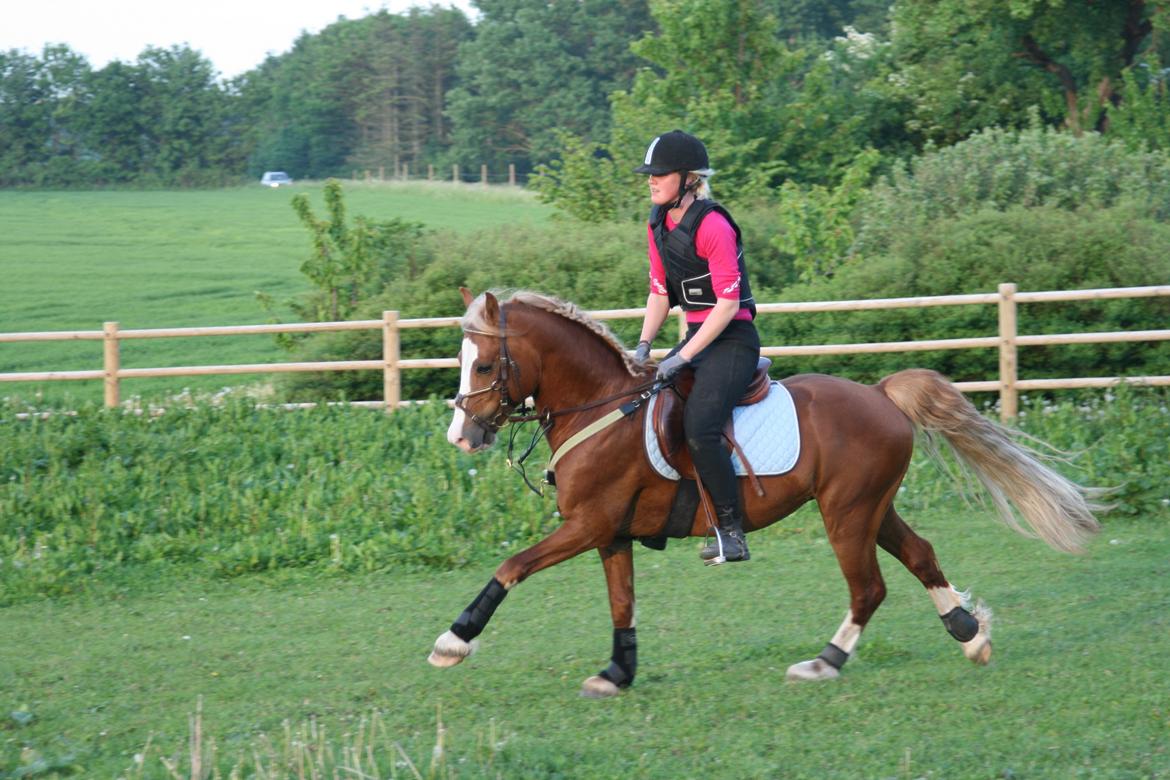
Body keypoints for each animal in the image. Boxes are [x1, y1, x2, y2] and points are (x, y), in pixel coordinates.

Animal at [428, 290, 1095, 696]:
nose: (462, 435)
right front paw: (617, 672)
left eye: (483, 366)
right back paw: (969, 634)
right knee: (920, 555)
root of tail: (879, 393)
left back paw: (825, 661)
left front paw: (453, 640)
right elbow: (622, 605)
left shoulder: (588, 526)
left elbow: (511, 566)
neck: (603, 408)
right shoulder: (610, 534)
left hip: (846, 513)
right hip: (871, 507)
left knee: (869, 587)